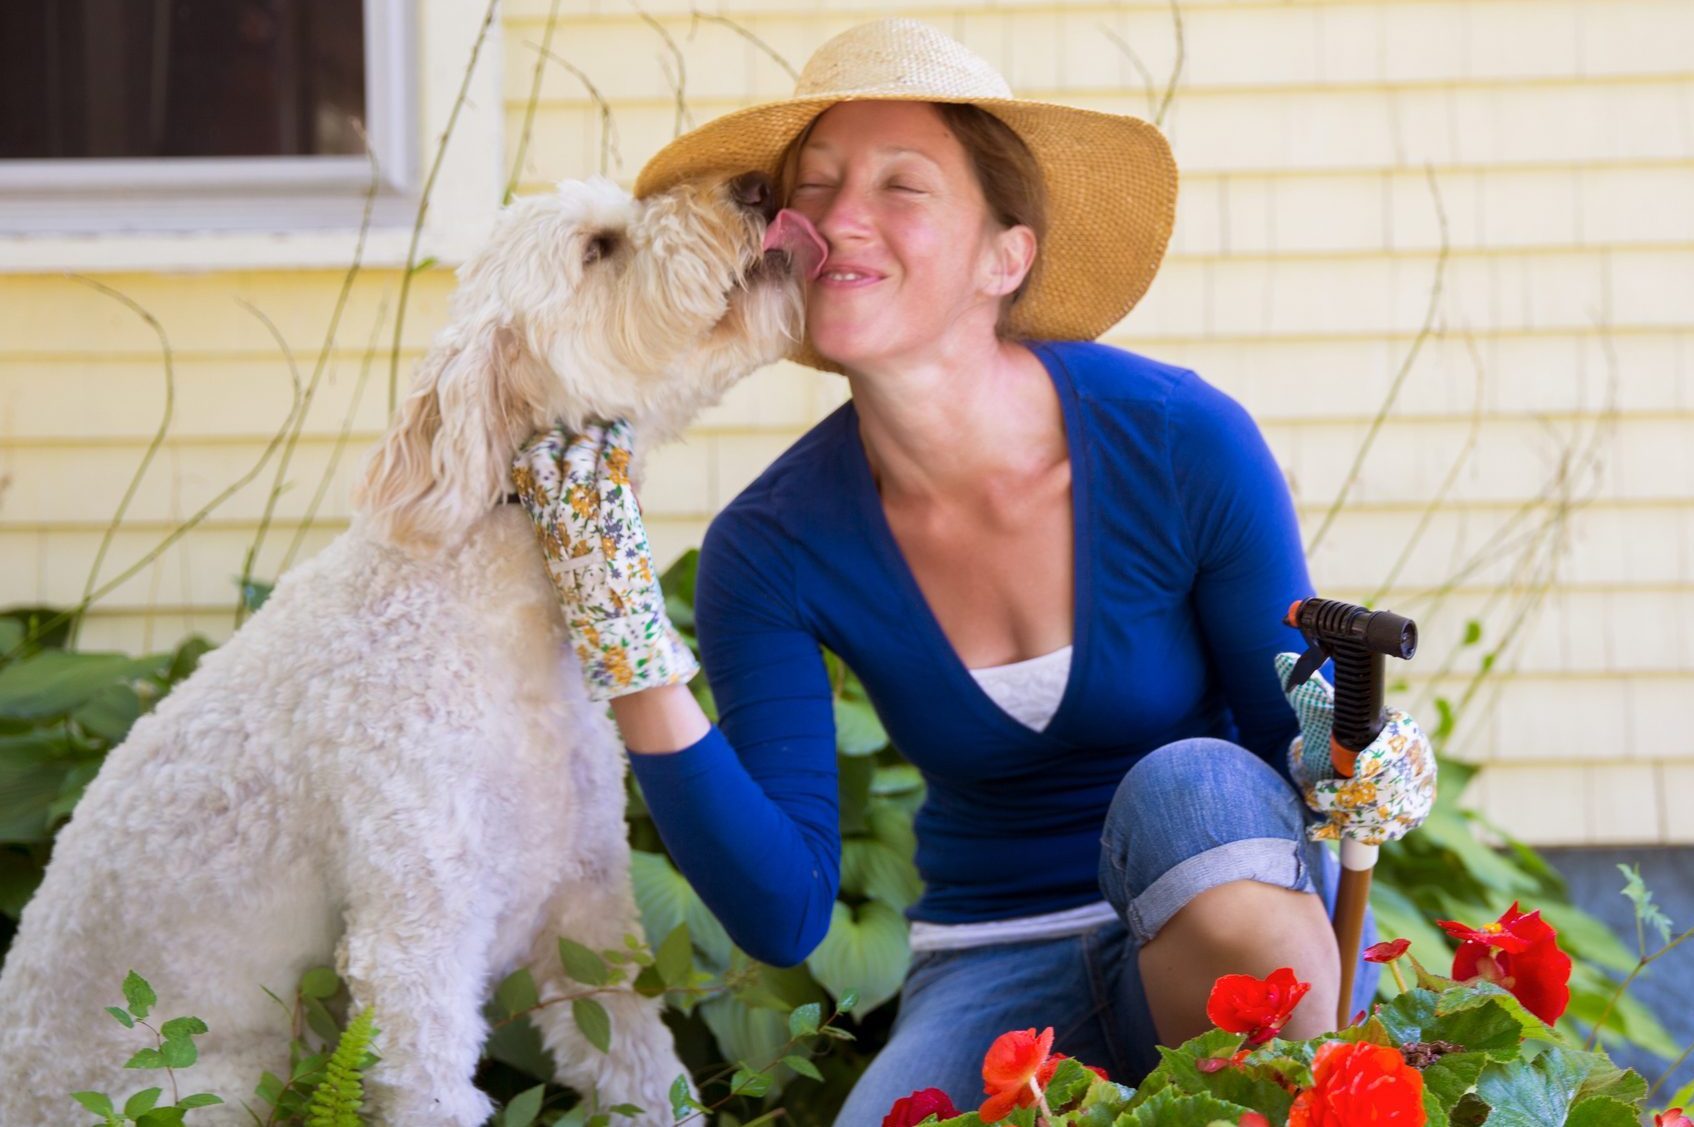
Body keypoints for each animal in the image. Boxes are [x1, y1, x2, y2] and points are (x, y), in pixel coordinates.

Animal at [0, 171, 809, 1118]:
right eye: (598, 248)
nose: (754, 185)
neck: (497, 615)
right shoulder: (416, 946)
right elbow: (434, 1089)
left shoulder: (589, 910)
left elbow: (644, 1075)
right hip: (221, 1081)